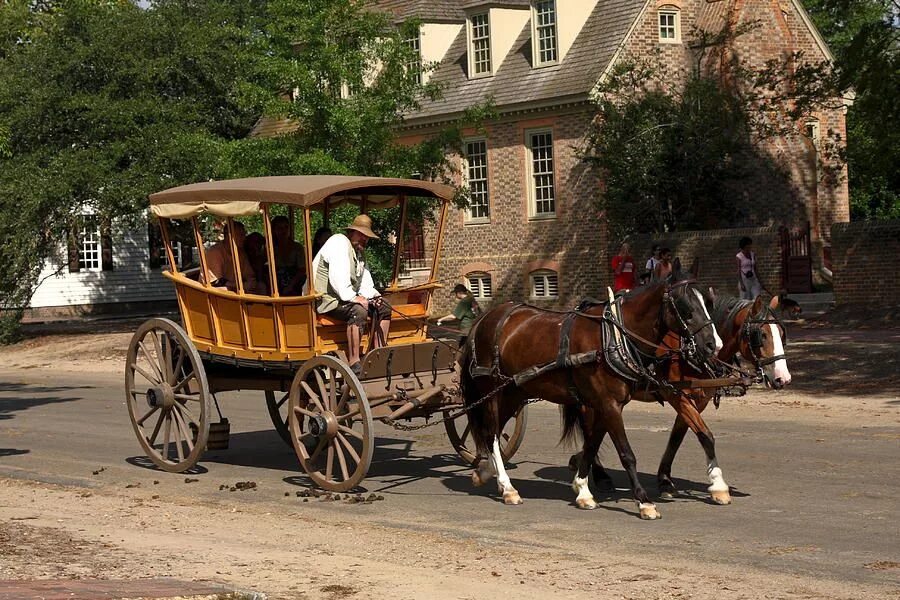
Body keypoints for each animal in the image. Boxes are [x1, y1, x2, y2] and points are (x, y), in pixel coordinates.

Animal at [460, 274, 720, 520]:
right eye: (685, 307)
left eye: (709, 303)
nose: (713, 344)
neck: (613, 338)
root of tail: (484, 319)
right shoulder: (608, 403)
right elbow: (626, 454)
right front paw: (644, 502)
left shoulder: (607, 404)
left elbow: (592, 445)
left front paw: (583, 490)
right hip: (491, 390)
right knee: (491, 433)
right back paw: (507, 487)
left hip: (514, 391)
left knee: (492, 431)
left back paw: (485, 472)